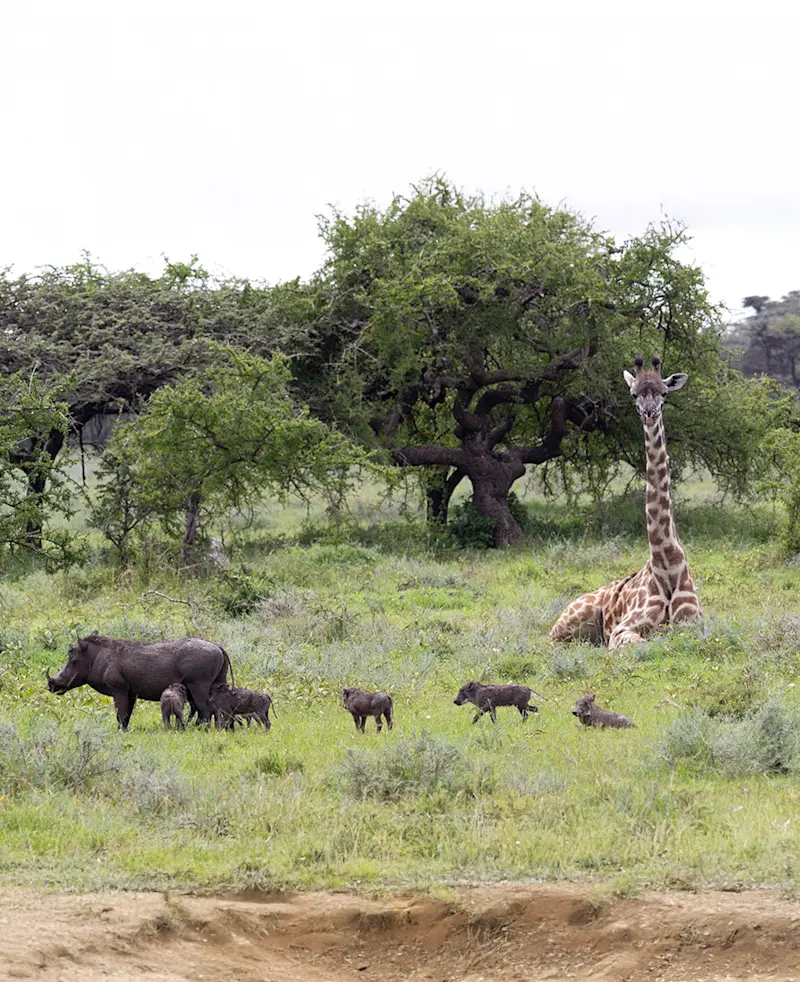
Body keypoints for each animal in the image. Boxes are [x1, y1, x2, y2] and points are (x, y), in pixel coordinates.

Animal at [549, 355, 703, 649]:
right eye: (634, 394)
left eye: (664, 394)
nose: (649, 413)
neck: (668, 565)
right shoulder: (622, 631)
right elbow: (645, 643)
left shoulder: (695, 626)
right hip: (567, 624)